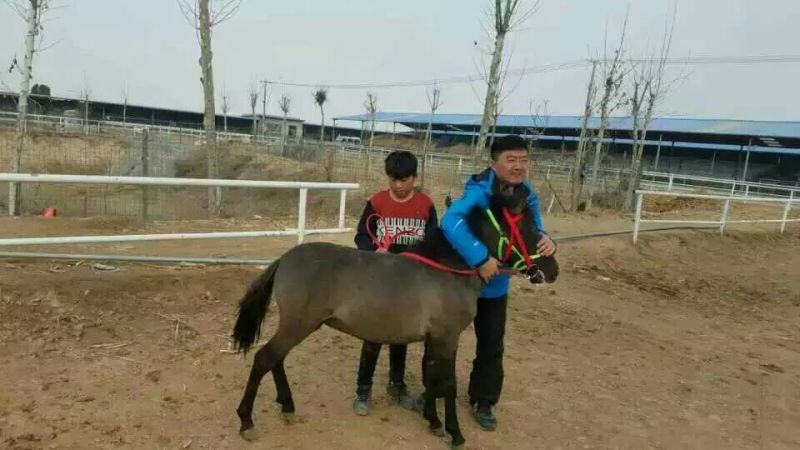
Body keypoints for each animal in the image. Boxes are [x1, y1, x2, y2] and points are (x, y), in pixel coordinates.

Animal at [231, 183, 559, 449]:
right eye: (528, 226)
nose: (552, 270)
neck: (449, 270)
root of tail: (285, 259)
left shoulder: (434, 340)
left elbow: (434, 378)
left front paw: (433, 422)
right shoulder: (447, 337)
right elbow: (449, 384)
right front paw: (455, 433)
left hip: (297, 326)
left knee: (276, 359)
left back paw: (287, 407)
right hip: (298, 325)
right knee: (264, 359)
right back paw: (247, 422)